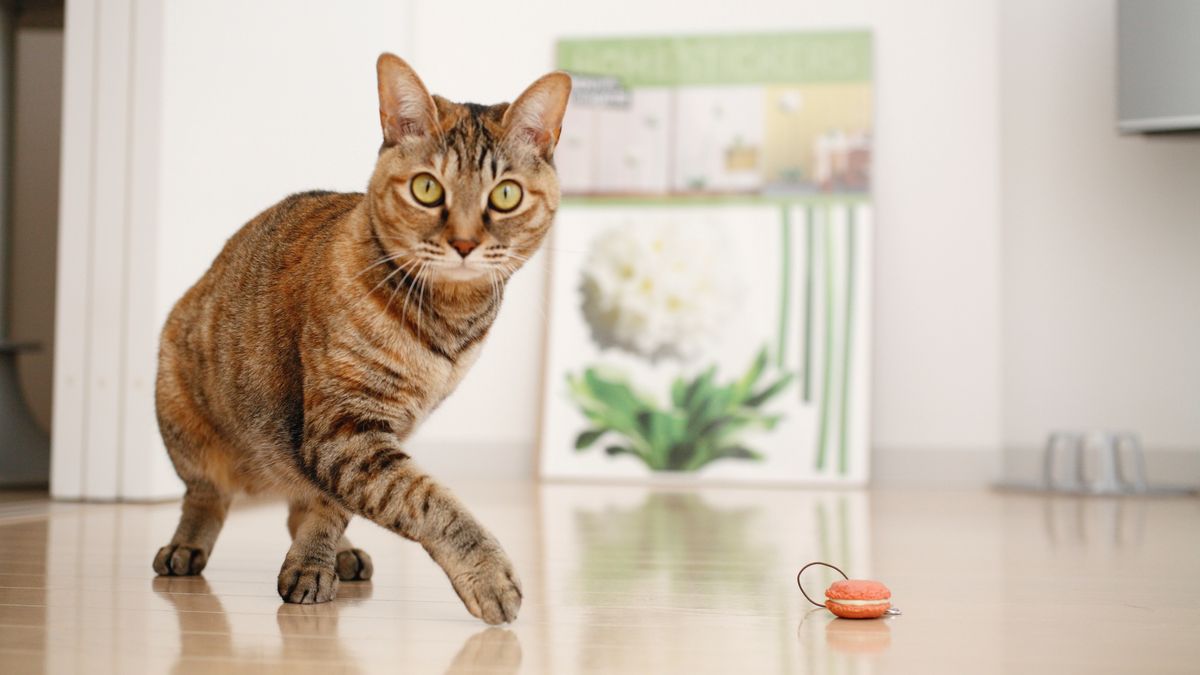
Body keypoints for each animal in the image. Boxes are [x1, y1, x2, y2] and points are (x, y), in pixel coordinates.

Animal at [152, 51, 573, 619]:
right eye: (426, 188)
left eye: (505, 195)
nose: (464, 242)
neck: (446, 323)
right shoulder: (343, 430)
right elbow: (427, 500)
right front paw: (487, 573)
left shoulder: (362, 437)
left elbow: (334, 505)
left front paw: (314, 561)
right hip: (182, 412)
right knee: (205, 495)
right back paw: (186, 545)